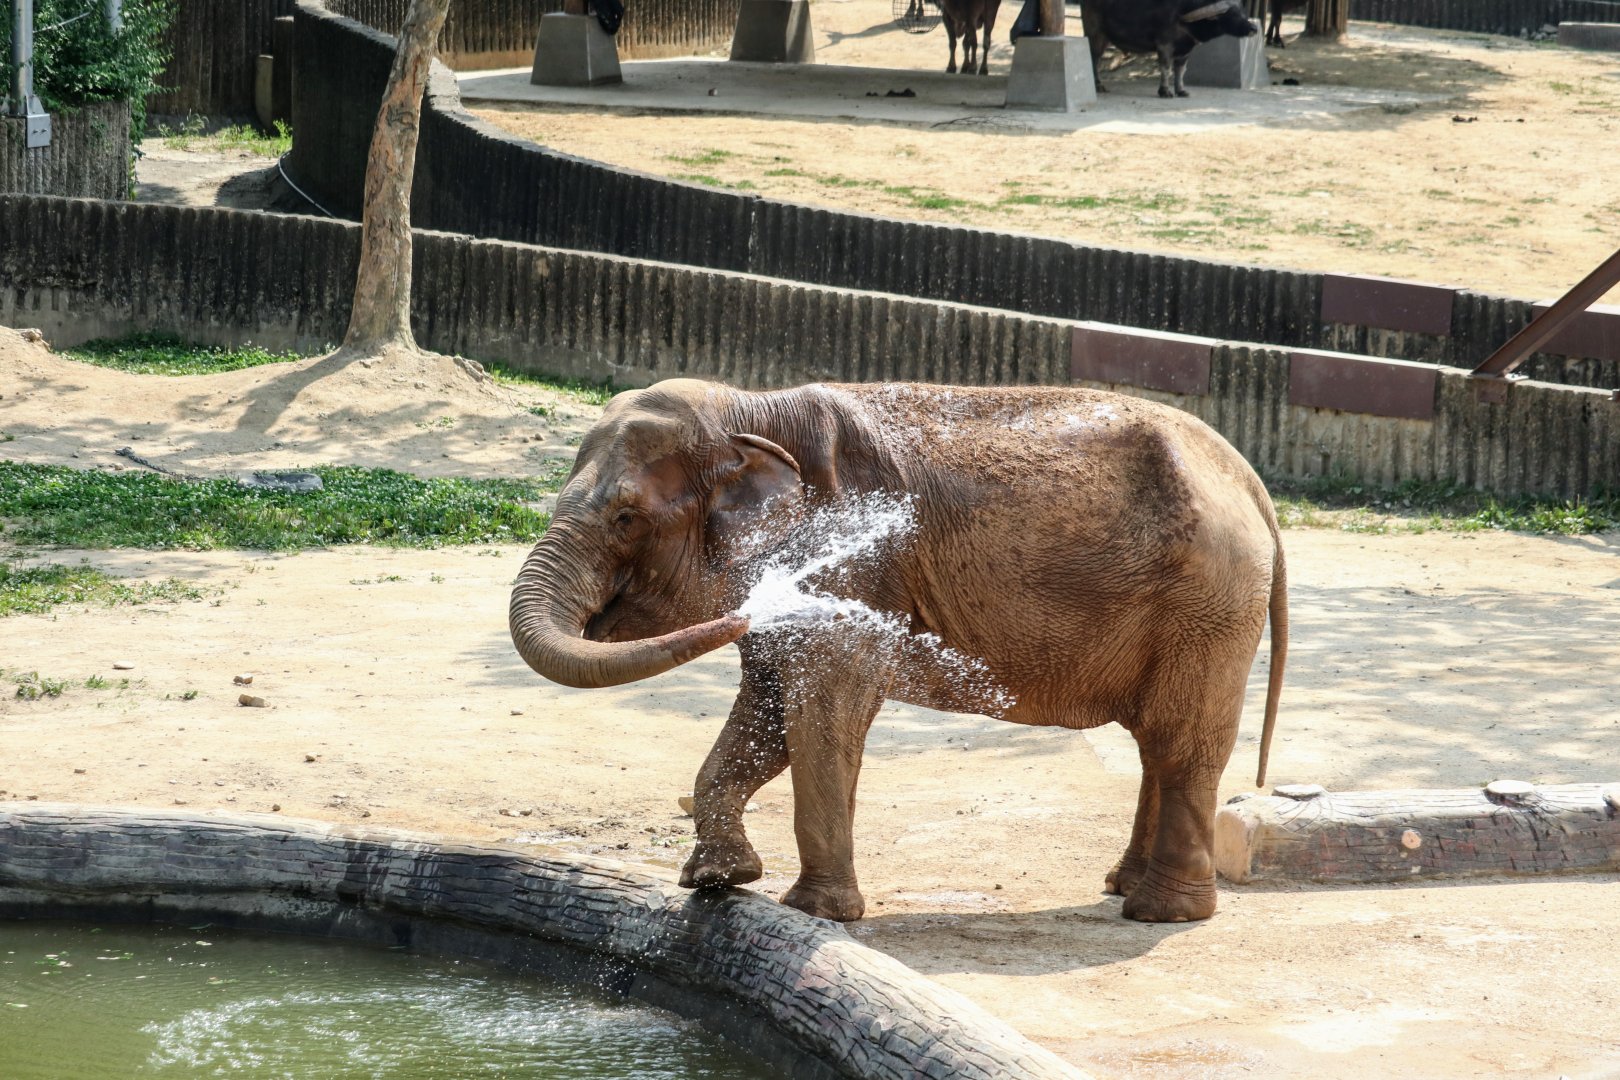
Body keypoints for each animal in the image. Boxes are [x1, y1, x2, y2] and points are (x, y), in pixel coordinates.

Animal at [510, 378, 1287, 924]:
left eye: (625, 517)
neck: (748, 411)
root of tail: (1247, 477)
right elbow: (766, 713)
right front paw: (716, 881)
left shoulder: (849, 566)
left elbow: (825, 707)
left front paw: (814, 913)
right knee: (1159, 742)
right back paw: (1123, 888)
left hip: (1209, 602)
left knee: (1183, 741)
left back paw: (1161, 912)